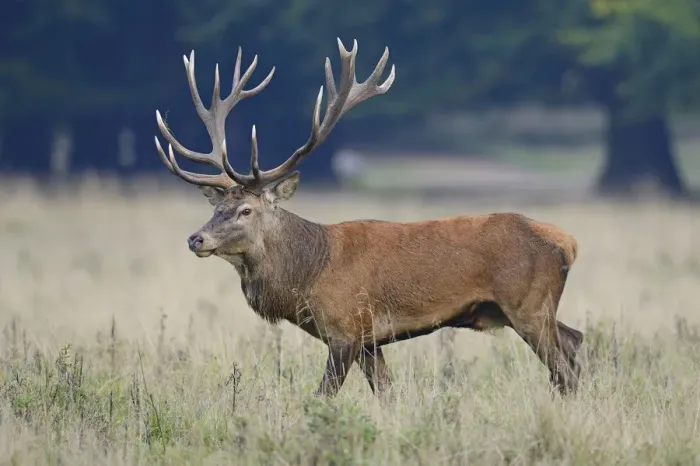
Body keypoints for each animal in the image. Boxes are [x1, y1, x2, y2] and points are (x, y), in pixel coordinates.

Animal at [154, 38, 584, 398]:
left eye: (246, 210)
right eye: (216, 209)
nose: (196, 239)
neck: (308, 274)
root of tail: (568, 243)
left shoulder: (346, 328)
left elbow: (322, 396)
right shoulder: (369, 341)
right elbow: (386, 394)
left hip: (528, 304)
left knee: (563, 367)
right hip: (526, 310)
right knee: (575, 342)